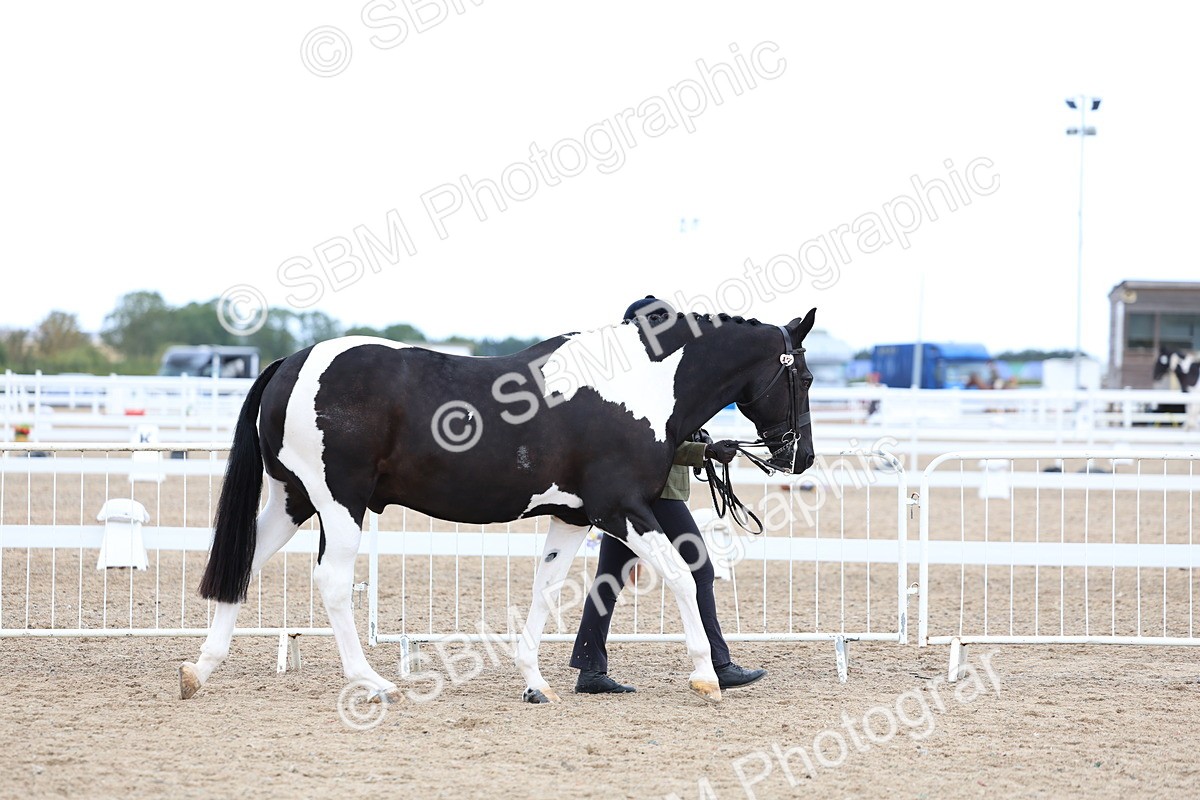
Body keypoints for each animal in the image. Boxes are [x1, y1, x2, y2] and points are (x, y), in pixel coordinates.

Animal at [179, 307, 817, 705]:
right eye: (806, 377)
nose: (801, 457)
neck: (639, 387)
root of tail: (292, 362)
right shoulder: (621, 508)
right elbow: (684, 576)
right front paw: (706, 677)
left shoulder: (573, 515)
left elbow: (546, 590)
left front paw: (535, 682)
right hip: (339, 503)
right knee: (332, 583)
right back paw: (373, 682)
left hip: (293, 499)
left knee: (244, 565)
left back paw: (198, 670)